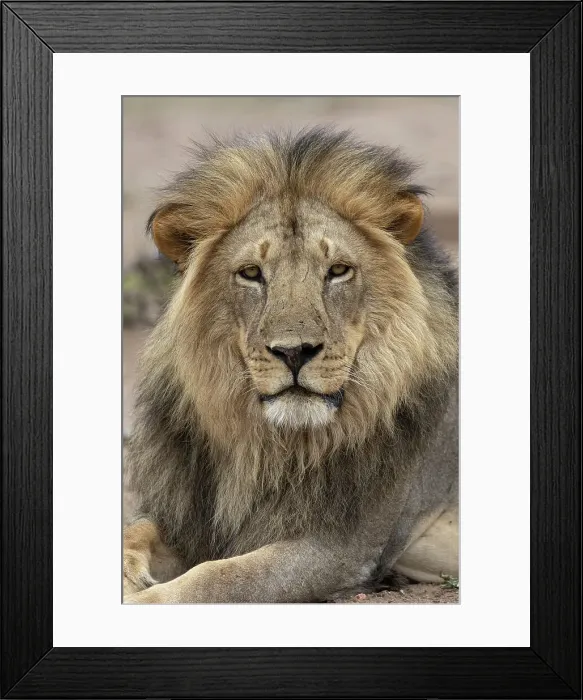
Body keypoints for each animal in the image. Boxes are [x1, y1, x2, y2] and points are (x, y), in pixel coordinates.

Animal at [123, 127, 458, 603]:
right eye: (251, 273)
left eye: (338, 270)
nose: (294, 351)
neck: (270, 446)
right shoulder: (190, 515)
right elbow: (135, 531)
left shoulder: (342, 547)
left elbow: (222, 577)